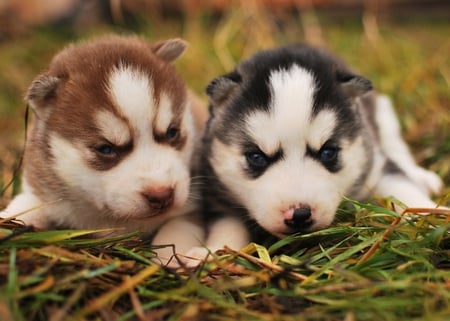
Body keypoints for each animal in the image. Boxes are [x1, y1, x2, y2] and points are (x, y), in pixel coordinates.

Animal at [1, 35, 206, 262]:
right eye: (106, 149)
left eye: (172, 132)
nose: (161, 195)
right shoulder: (42, 191)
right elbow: (23, 207)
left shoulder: (193, 206)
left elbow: (176, 231)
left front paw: (173, 257)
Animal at [190, 43, 446, 256]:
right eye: (257, 157)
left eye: (328, 153)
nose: (299, 215)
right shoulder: (219, 197)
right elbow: (227, 226)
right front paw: (210, 252)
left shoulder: (374, 168)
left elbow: (405, 190)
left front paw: (436, 217)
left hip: (383, 112)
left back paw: (422, 176)